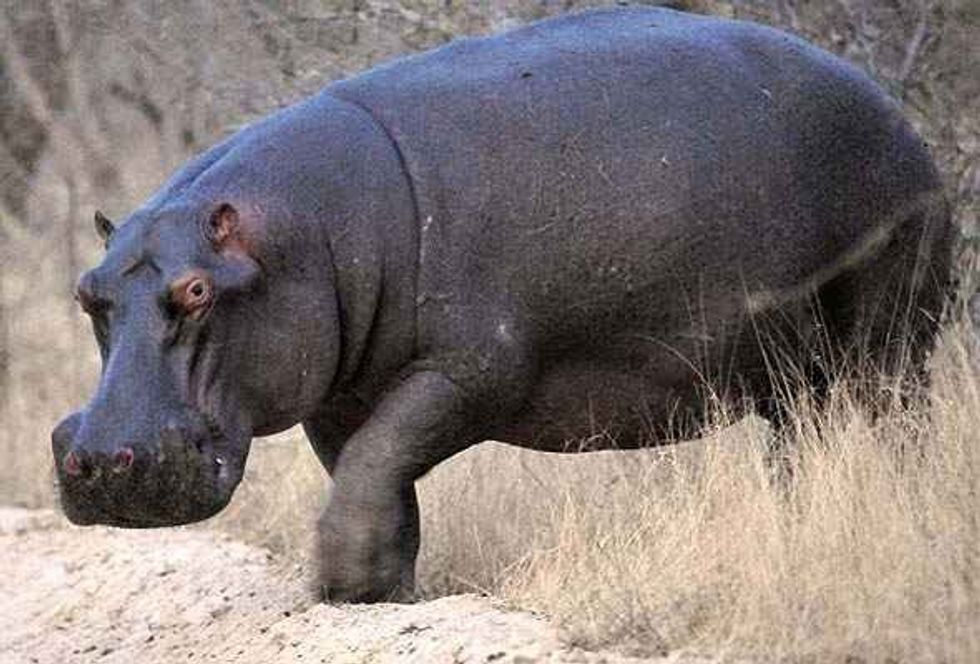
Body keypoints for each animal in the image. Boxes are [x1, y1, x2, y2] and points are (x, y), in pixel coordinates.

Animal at [52, 6, 954, 602]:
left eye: (196, 289)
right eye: (88, 292)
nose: (92, 457)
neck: (302, 232)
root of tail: (902, 124)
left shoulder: (473, 369)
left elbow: (383, 453)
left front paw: (343, 581)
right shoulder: (333, 396)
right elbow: (372, 474)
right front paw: (381, 591)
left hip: (889, 337)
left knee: (896, 425)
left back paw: (897, 517)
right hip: (787, 374)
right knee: (801, 446)